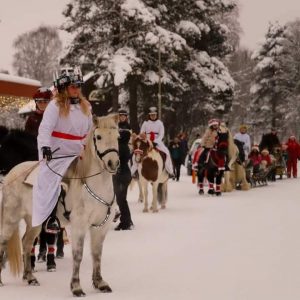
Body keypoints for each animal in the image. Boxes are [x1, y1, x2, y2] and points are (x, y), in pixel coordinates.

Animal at [0, 114, 119, 296]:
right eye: (98, 137)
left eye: (118, 137)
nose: (113, 163)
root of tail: (12, 174)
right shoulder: (79, 226)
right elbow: (78, 255)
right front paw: (76, 287)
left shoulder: (100, 227)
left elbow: (97, 254)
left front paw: (100, 283)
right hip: (10, 219)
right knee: (3, 242)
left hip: (34, 222)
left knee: (26, 243)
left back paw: (30, 277)